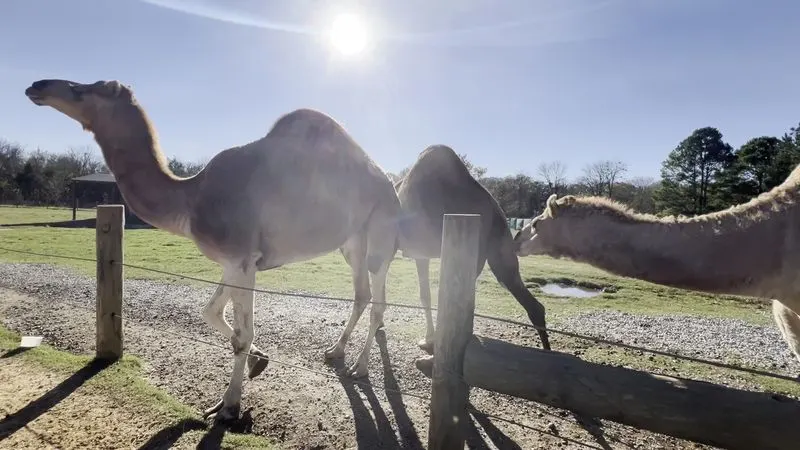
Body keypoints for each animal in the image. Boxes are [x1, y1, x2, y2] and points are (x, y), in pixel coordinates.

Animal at [24, 79, 402, 422]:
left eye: (85, 88)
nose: (37, 86)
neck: (190, 200)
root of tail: (391, 184)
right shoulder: (231, 264)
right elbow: (210, 313)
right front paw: (258, 362)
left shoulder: (242, 259)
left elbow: (241, 335)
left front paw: (229, 406)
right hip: (351, 243)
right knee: (362, 294)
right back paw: (335, 352)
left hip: (380, 236)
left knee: (378, 300)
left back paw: (359, 367)